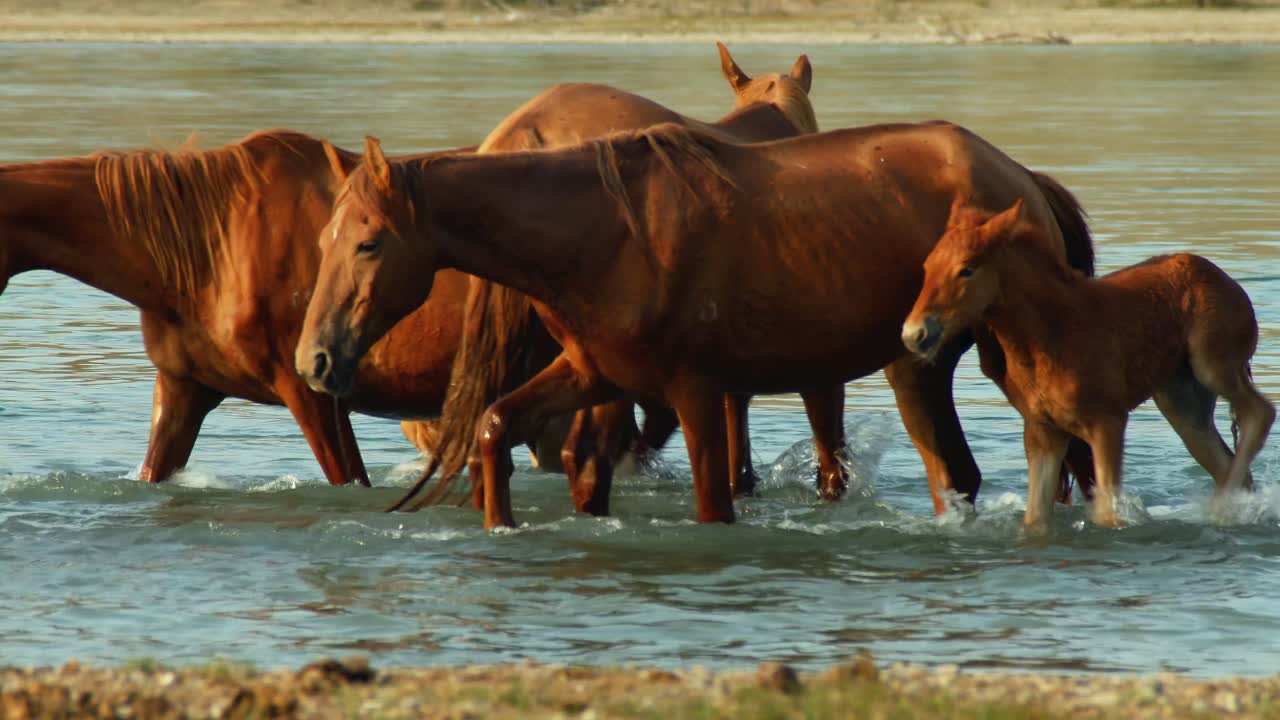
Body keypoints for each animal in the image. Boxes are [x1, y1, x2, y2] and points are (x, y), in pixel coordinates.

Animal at [296, 120, 1096, 529]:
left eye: (368, 243)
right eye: (324, 238)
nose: (315, 360)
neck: (602, 232)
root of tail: (1023, 181)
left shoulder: (695, 391)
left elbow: (714, 503)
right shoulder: (594, 374)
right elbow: (497, 428)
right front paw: (500, 528)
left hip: (925, 365)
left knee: (962, 473)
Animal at [902, 199, 1274, 528]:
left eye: (966, 269)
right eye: (926, 267)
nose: (914, 333)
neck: (1047, 336)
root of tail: (1230, 283)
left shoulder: (1108, 420)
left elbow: (1108, 514)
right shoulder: (1043, 432)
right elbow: (1035, 520)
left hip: (1213, 365)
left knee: (1260, 413)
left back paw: (1224, 510)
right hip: (1182, 401)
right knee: (1226, 460)